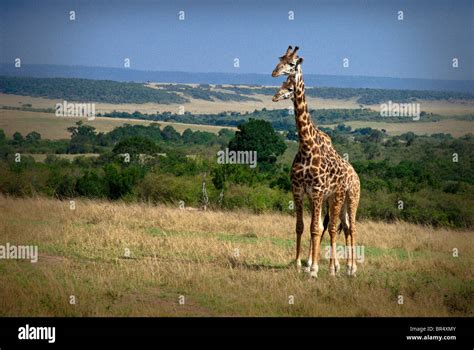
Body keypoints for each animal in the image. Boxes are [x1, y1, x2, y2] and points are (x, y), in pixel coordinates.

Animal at [272, 46, 362, 276]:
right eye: (279, 59)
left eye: (291, 64)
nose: (274, 73)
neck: (306, 146)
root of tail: (355, 173)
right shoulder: (298, 190)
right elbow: (301, 226)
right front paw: (299, 264)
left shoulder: (318, 191)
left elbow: (315, 228)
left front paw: (313, 268)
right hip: (334, 199)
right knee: (339, 227)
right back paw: (338, 266)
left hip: (349, 197)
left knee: (348, 227)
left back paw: (349, 268)